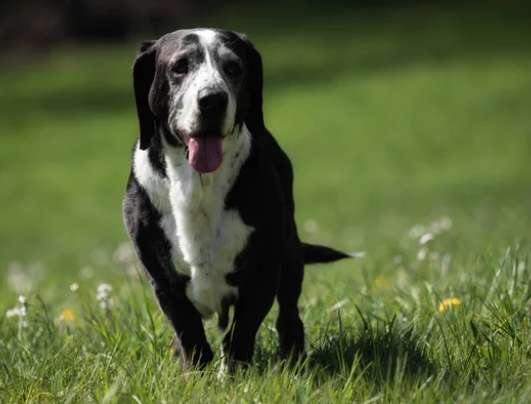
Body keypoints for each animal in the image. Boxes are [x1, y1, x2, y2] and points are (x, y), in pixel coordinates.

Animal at [122, 28, 352, 374]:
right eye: (179, 66)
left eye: (234, 67)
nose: (212, 100)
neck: (198, 186)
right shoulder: (163, 282)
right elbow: (189, 332)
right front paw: (195, 374)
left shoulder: (263, 272)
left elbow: (241, 333)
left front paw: (234, 375)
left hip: (290, 254)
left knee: (289, 313)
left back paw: (293, 355)